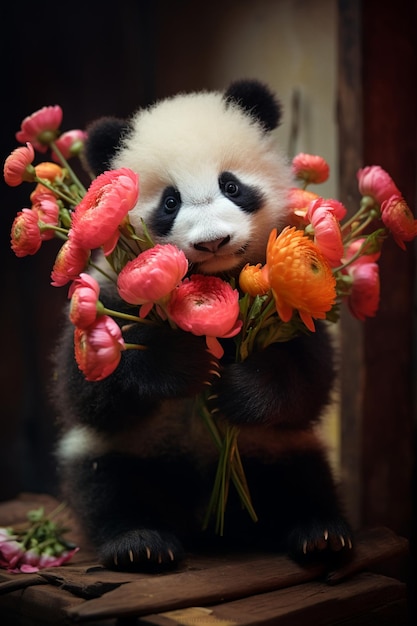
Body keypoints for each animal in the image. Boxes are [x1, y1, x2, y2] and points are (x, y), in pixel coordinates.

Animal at [51, 79, 352, 572]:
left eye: (231, 185)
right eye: (170, 202)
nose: (214, 241)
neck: (214, 281)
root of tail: (206, 524)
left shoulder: (290, 303)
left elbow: (310, 379)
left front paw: (236, 387)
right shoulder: (109, 290)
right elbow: (89, 390)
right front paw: (182, 364)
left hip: (276, 447)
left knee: (302, 476)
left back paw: (320, 533)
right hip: (123, 452)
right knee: (109, 485)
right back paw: (139, 542)